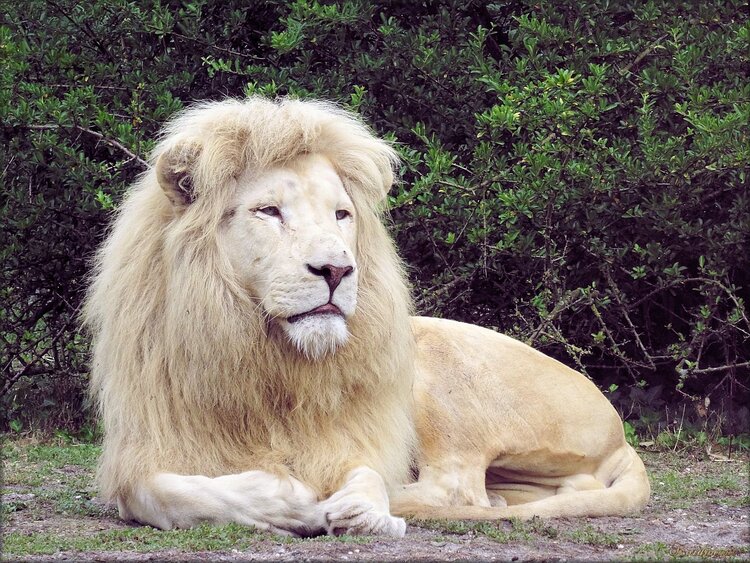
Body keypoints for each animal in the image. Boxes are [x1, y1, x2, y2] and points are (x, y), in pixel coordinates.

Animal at [85, 96, 652, 536]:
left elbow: (367, 474)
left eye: (342, 215)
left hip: (440, 376)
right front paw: (287, 500)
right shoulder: (146, 445)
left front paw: (347, 505)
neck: (270, 361)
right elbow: (155, 490)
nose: (337, 269)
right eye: (269, 211)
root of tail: (620, 433)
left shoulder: (356, 438)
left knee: (456, 490)